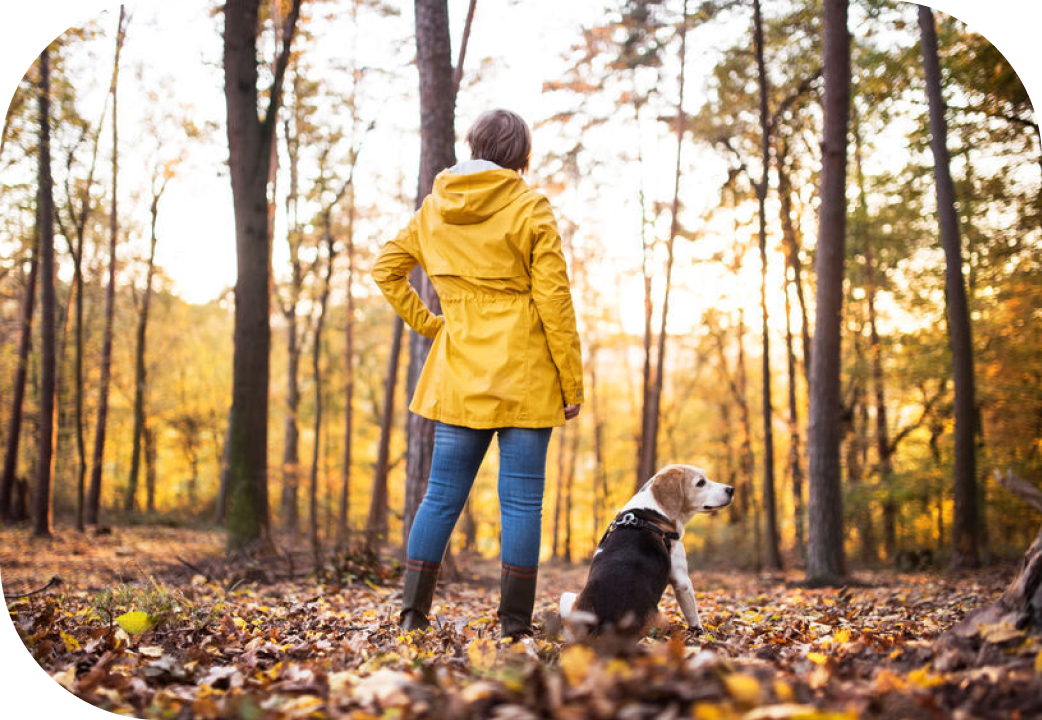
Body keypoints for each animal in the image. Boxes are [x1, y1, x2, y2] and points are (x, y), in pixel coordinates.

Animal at [562, 466, 733, 641]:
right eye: (700, 483)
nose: (731, 489)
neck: (653, 511)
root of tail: (605, 625)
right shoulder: (682, 581)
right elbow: (692, 614)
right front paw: (698, 631)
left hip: (567, 599)